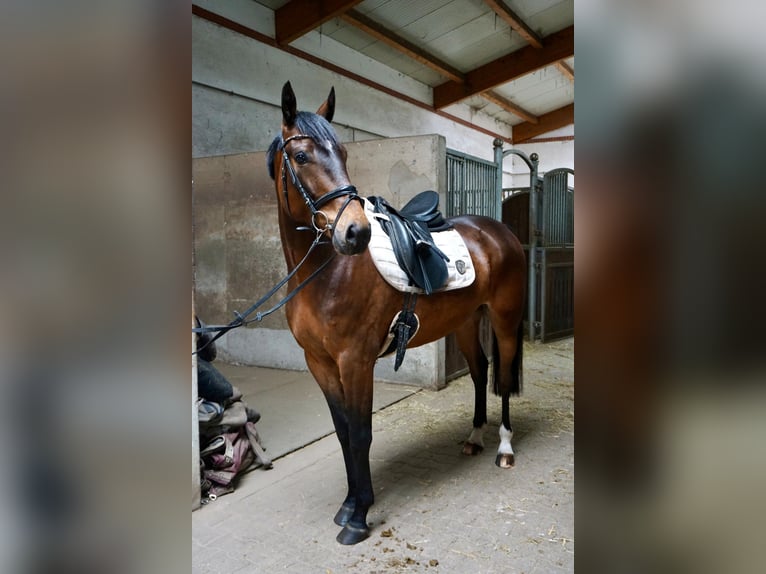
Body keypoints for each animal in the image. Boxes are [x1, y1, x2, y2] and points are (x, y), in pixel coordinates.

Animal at [266, 81, 526, 545]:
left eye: (343, 153)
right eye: (301, 157)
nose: (356, 232)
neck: (328, 274)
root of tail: (499, 231)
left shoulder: (356, 361)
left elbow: (360, 434)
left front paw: (358, 516)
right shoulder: (320, 363)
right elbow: (343, 432)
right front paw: (348, 504)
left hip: (505, 321)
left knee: (504, 377)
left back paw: (504, 448)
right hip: (465, 323)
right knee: (480, 373)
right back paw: (474, 438)